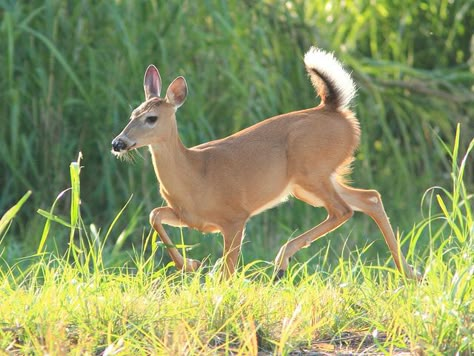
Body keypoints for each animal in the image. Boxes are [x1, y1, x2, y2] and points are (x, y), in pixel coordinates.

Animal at [112, 48, 418, 280]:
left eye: (151, 118)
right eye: (132, 114)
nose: (118, 143)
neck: (195, 175)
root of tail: (332, 108)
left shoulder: (235, 217)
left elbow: (228, 272)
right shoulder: (188, 216)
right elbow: (154, 215)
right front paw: (191, 265)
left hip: (310, 171)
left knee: (343, 210)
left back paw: (281, 261)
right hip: (313, 181)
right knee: (370, 198)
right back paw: (410, 272)